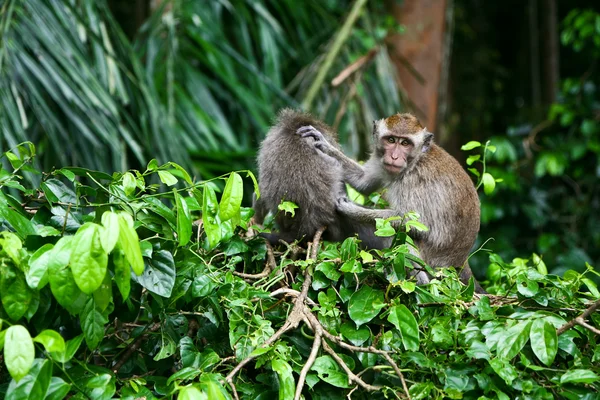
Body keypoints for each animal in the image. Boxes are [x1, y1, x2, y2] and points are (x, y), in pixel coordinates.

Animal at [298, 113, 486, 294]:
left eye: (405, 143)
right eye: (390, 140)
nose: (394, 157)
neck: (414, 162)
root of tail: (460, 262)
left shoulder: (414, 182)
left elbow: (416, 224)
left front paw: (350, 209)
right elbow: (363, 182)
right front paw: (324, 145)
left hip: (434, 265)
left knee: (399, 235)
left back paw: (420, 284)